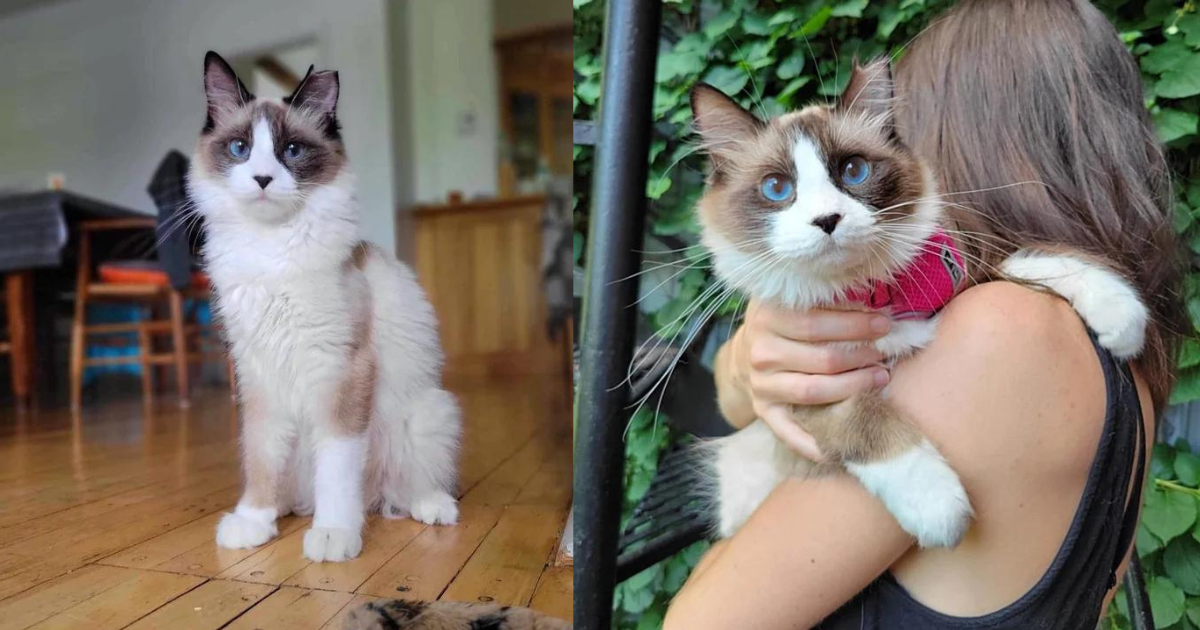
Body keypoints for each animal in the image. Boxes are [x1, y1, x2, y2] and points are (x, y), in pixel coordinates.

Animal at [192, 49, 463, 559]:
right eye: (239, 149)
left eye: (292, 152)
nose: (262, 178)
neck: (271, 252)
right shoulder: (258, 373)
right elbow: (261, 455)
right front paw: (253, 521)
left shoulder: (339, 369)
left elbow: (337, 468)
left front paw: (334, 534)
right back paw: (287, 509)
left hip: (423, 415)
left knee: (408, 484)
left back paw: (429, 507)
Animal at [696, 61, 1152, 547]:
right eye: (777, 188)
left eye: (854, 170)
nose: (827, 220)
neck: (876, 295)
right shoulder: (805, 391)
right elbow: (866, 420)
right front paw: (939, 510)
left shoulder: (963, 281)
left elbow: (1027, 263)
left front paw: (1121, 318)